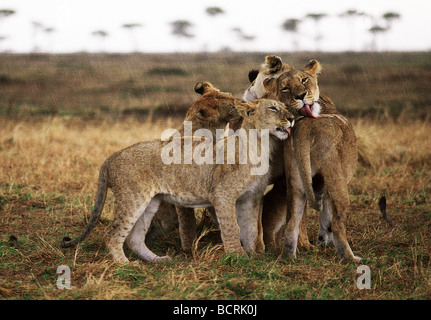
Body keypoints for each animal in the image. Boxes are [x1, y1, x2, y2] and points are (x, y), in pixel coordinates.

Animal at [61, 82, 296, 262]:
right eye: (273, 108)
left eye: (284, 107)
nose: (292, 118)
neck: (262, 144)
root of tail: (111, 157)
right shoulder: (222, 195)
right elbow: (232, 228)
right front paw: (237, 257)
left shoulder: (250, 197)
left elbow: (250, 230)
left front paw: (254, 256)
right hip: (132, 197)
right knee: (113, 235)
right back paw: (125, 265)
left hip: (151, 201)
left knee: (134, 237)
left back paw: (158, 260)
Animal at [246, 55, 362, 262]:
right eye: (285, 88)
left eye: (304, 80)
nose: (300, 96)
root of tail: (306, 130)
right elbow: (327, 216)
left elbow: (322, 216)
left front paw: (322, 239)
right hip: (336, 181)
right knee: (338, 225)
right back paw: (350, 258)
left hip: (297, 183)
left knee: (292, 223)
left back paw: (289, 256)